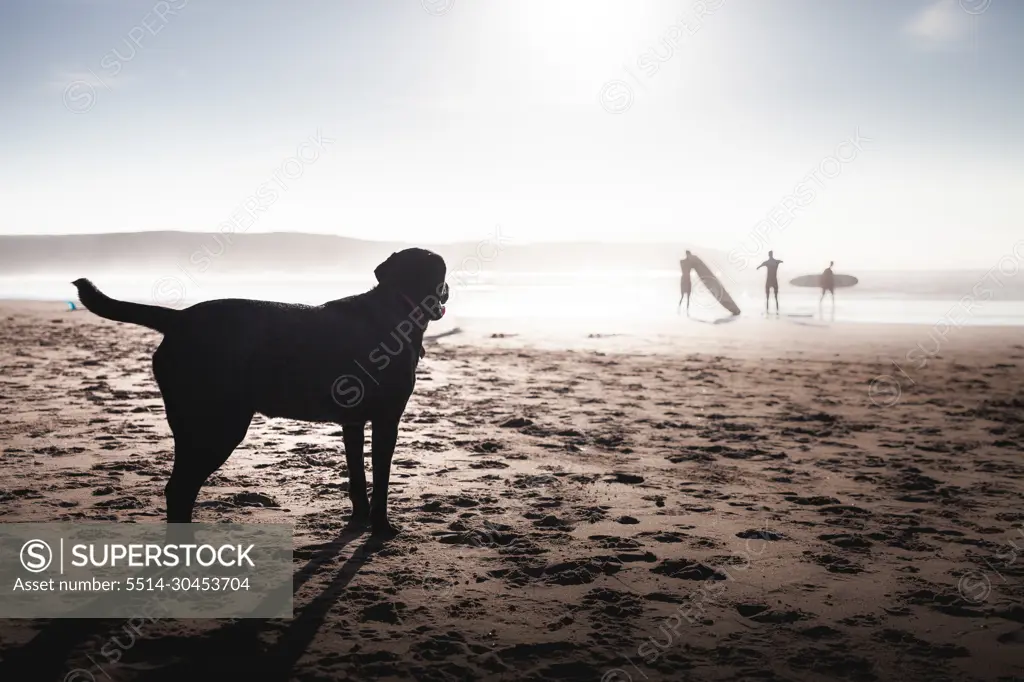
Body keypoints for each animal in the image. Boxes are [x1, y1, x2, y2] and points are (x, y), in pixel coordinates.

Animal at [72, 245, 448, 536]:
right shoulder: (387, 420)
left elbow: (357, 476)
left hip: (191, 425)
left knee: (177, 486)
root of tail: (178, 319)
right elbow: (381, 480)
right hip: (219, 427)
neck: (396, 305)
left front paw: (359, 519)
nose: (446, 290)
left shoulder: (352, 423)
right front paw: (382, 527)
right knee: (180, 489)